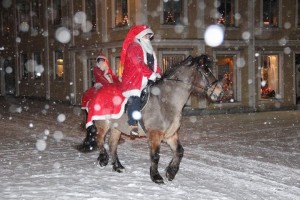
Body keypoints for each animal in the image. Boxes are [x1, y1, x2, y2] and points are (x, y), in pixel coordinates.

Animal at [79, 54, 223, 184]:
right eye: (206, 71)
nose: (220, 92)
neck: (165, 100)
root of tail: (96, 92)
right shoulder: (155, 133)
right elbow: (155, 156)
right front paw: (156, 176)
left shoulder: (170, 134)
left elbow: (179, 151)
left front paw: (171, 172)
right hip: (103, 124)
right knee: (100, 140)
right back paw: (103, 159)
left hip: (117, 128)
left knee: (112, 144)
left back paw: (118, 166)